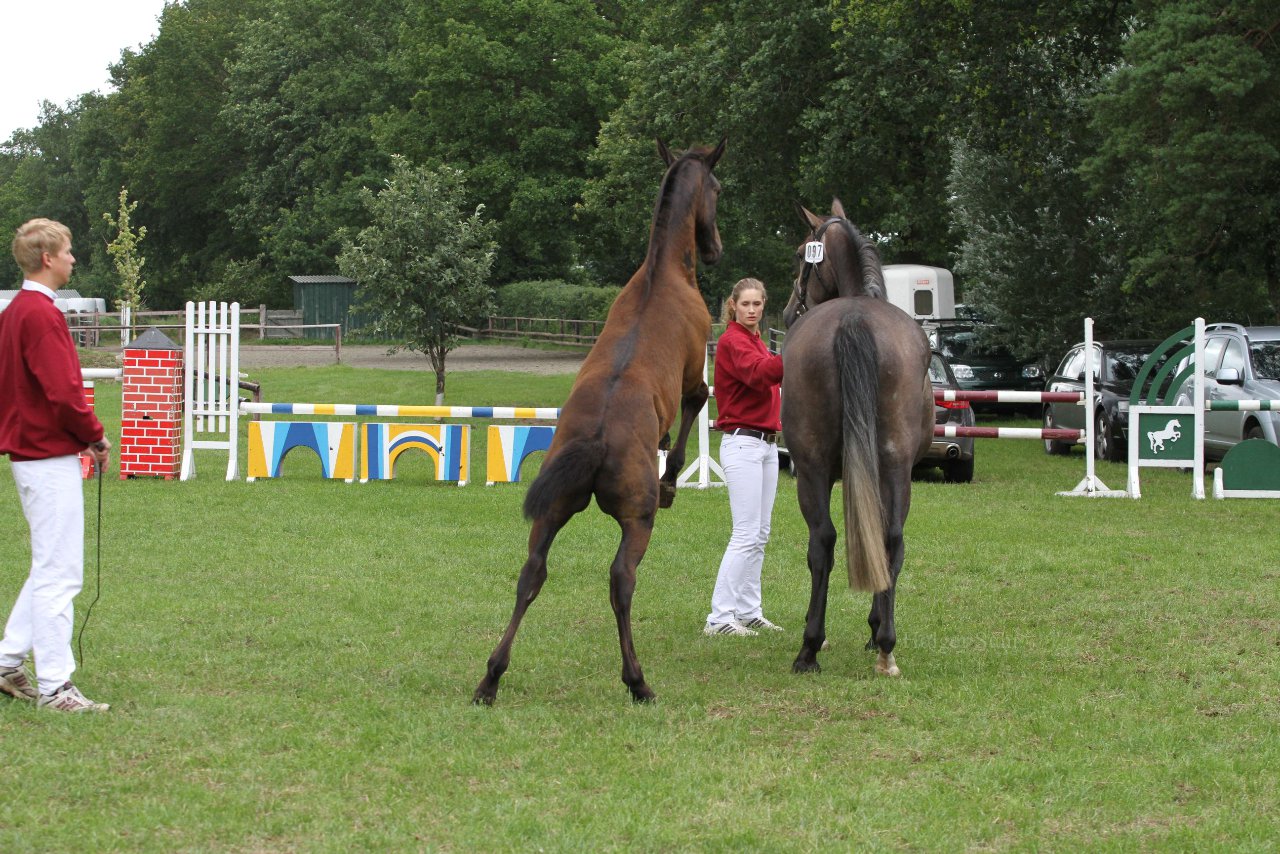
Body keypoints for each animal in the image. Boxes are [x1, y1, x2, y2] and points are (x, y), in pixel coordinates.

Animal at [476, 136, 727, 706]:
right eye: (718, 188)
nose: (715, 248)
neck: (662, 273)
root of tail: (593, 440)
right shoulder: (693, 378)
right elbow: (691, 419)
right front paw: (673, 479)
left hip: (551, 513)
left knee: (531, 574)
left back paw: (491, 677)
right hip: (636, 519)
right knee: (621, 581)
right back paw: (637, 681)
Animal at [778, 201, 931, 681]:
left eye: (799, 254)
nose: (788, 311)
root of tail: (853, 319)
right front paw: (875, 627)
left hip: (813, 467)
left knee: (825, 543)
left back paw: (813, 647)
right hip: (891, 466)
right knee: (889, 540)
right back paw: (883, 647)